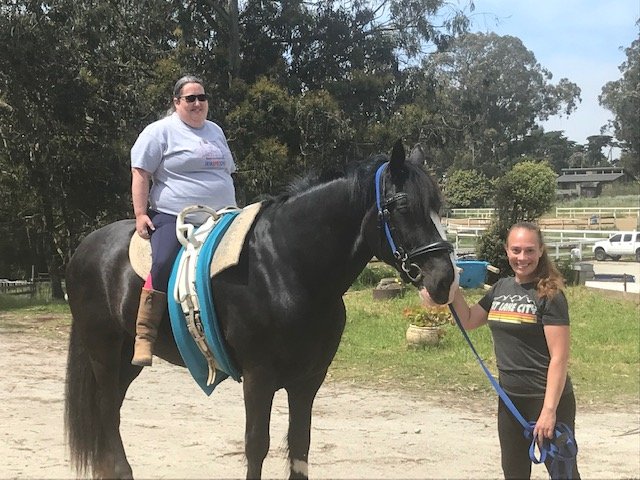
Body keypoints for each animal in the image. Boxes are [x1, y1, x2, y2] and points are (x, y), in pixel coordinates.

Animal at [64, 140, 459, 479]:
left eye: (438, 208)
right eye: (402, 207)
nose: (444, 279)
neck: (286, 265)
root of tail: (86, 246)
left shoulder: (308, 381)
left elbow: (300, 444)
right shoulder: (259, 378)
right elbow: (257, 445)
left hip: (127, 359)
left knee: (111, 409)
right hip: (103, 350)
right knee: (106, 410)